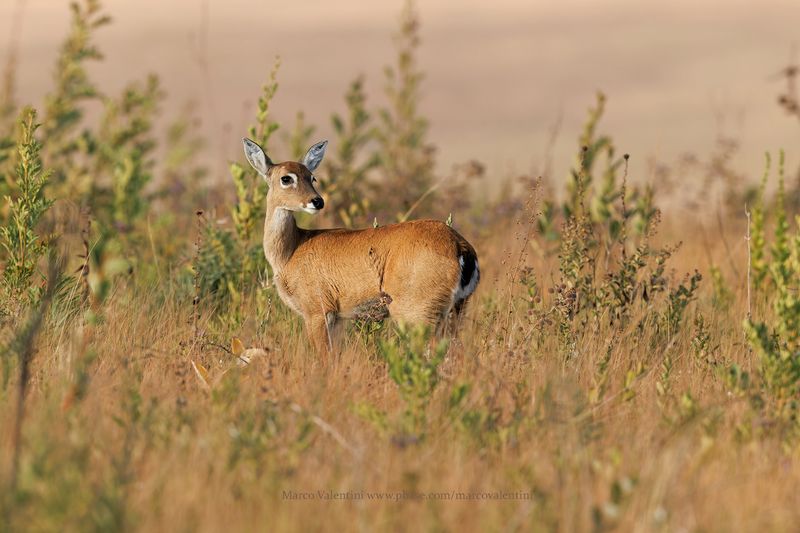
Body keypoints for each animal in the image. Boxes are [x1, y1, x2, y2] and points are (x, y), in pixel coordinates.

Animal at [244, 135, 478, 356]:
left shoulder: (318, 313)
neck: (291, 250)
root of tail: (459, 245)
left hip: (418, 316)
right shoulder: (338, 319)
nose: (317, 201)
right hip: (455, 312)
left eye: (312, 177)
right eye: (286, 178)